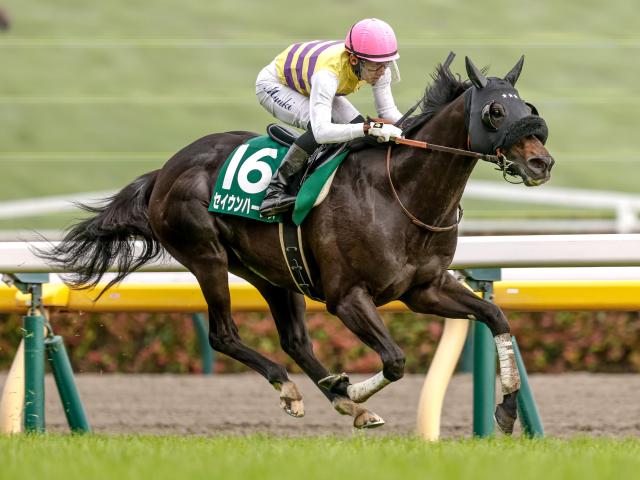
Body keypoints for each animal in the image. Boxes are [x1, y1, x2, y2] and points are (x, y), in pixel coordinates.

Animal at [40, 55, 554, 433]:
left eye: (527, 108)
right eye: (494, 111)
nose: (541, 163)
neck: (399, 193)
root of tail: (165, 170)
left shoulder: (424, 289)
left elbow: (496, 317)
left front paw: (506, 412)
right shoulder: (347, 298)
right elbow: (395, 360)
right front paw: (353, 388)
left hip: (273, 272)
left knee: (294, 340)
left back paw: (342, 400)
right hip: (207, 256)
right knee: (223, 334)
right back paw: (304, 390)